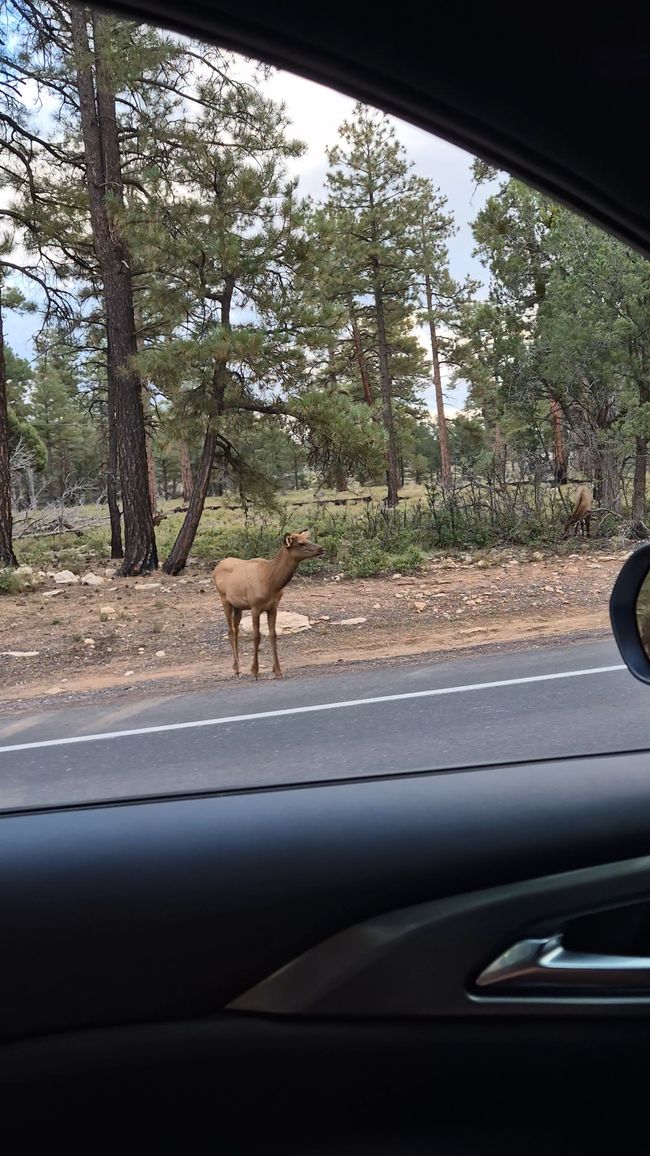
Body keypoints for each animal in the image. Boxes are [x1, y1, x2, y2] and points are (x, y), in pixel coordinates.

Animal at [212, 529, 323, 675]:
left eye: (307, 539)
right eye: (301, 543)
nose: (321, 548)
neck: (271, 582)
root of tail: (215, 569)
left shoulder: (273, 607)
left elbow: (273, 635)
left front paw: (277, 670)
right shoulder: (255, 606)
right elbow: (256, 636)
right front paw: (255, 670)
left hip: (238, 606)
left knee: (236, 630)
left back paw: (237, 665)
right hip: (224, 599)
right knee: (230, 630)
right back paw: (236, 669)